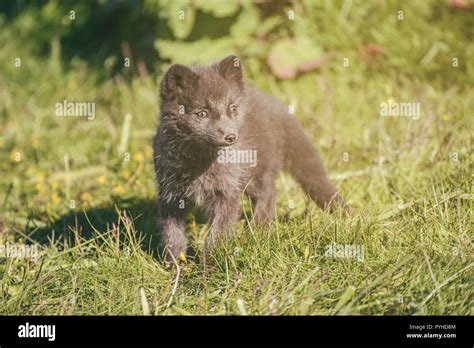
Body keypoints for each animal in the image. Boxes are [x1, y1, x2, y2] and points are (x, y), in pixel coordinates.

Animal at [154, 55, 342, 260]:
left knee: (272, 193)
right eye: (202, 113)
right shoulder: (169, 194)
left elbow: (218, 231)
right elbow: (171, 233)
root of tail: (277, 104)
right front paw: (176, 263)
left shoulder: (228, 191)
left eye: (232, 108)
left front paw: (209, 262)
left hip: (260, 171)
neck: (199, 161)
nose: (231, 137)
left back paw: (259, 231)